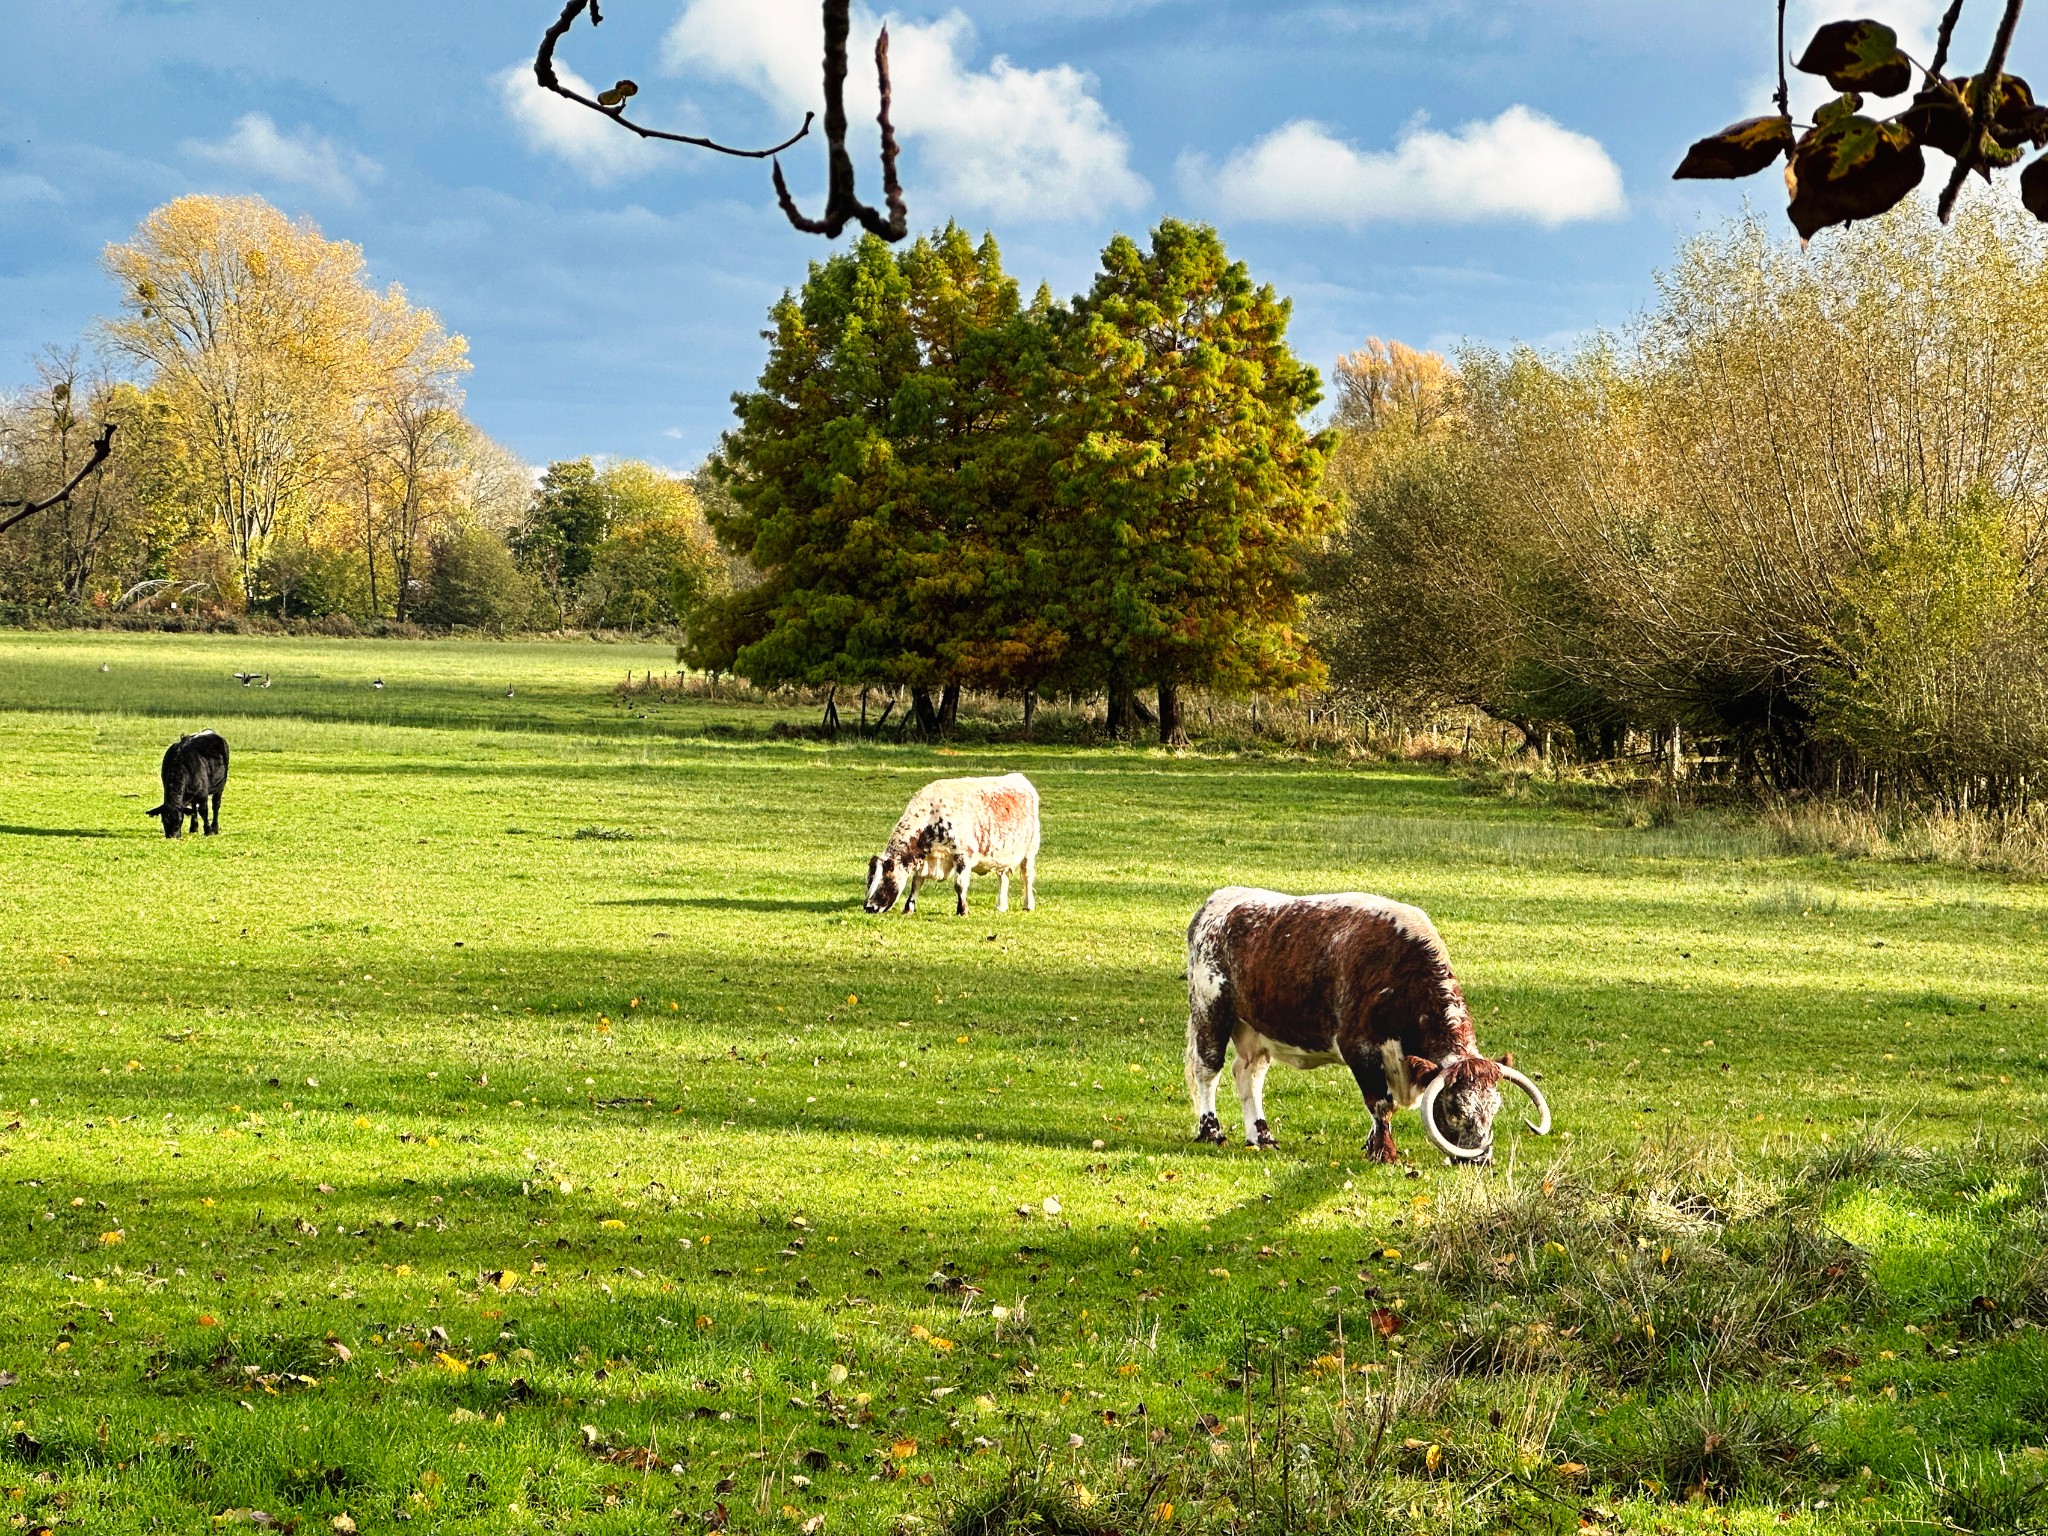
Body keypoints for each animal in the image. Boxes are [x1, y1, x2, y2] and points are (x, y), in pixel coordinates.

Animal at [864, 774, 1040, 921]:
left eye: (886, 879)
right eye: (869, 879)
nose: (869, 908)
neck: (933, 817)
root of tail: (1020, 778)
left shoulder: (962, 856)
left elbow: (960, 884)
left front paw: (962, 910)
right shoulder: (925, 859)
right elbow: (916, 883)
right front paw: (909, 908)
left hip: (1030, 851)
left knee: (1027, 876)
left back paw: (1028, 905)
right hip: (1002, 854)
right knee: (1003, 876)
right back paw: (1001, 906)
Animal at [1187, 888, 1548, 1163]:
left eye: (1495, 1107)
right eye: (1455, 1107)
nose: (1480, 1158)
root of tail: (1215, 902)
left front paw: (1372, 1143)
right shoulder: (1360, 1050)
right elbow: (1381, 1103)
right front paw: (1383, 1151)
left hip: (1256, 1029)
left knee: (1249, 1074)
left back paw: (1261, 1136)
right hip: (1210, 1010)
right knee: (1208, 1069)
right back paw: (1211, 1131)